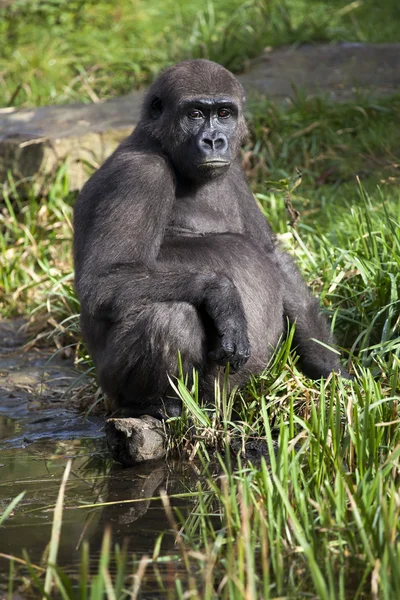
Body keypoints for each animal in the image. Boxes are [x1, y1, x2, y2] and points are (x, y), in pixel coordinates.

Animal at [73, 59, 348, 418]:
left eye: (224, 113)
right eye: (194, 114)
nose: (214, 140)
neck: (160, 144)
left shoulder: (236, 170)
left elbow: (271, 255)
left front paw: (329, 369)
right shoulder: (139, 174)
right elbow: (104, 279)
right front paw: (222, 295)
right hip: (112, 387)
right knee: (171, 316)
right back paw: (154, 405)